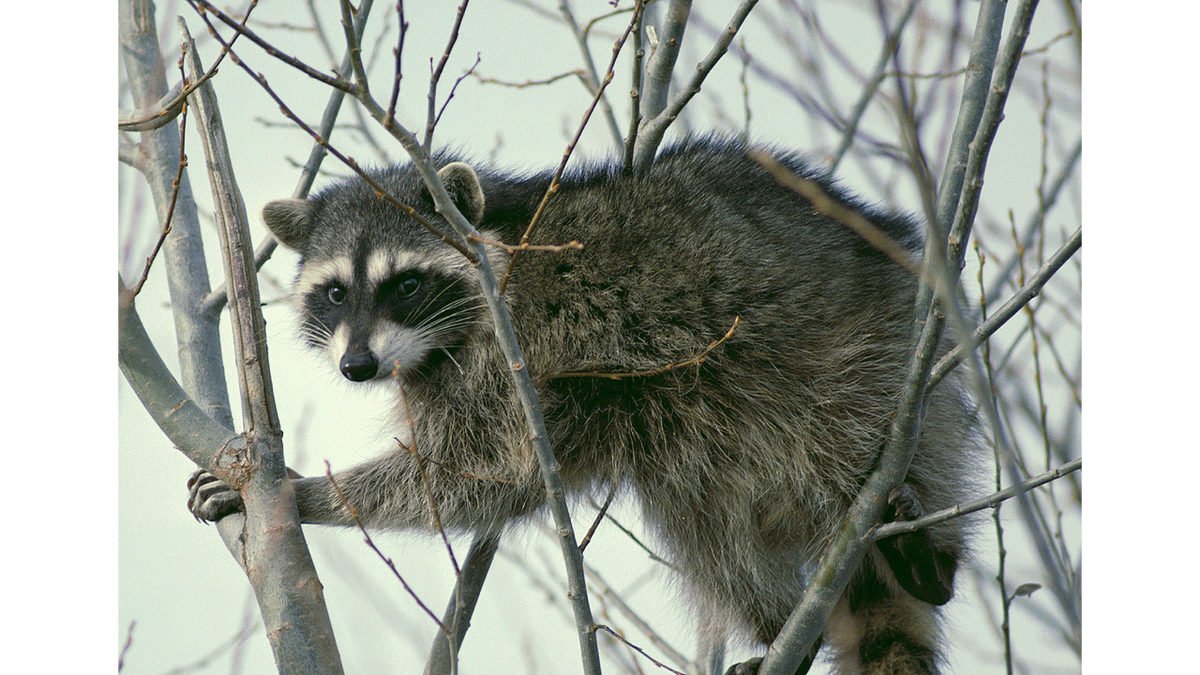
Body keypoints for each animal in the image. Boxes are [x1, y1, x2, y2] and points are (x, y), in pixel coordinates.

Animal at [190, 138, 974, 675]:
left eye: (405, 284)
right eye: (333, 292)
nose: (358, 366)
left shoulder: (516, 354)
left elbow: (476, 470)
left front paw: (307, 492)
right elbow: (489, 478)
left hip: (867, 362)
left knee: (841, 443)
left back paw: (928, 558)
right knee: (703, 520)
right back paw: (782, 625)